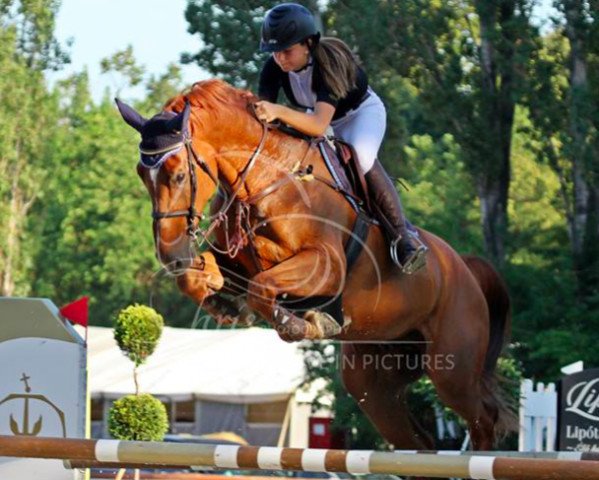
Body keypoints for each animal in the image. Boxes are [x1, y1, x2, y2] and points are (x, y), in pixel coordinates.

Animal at [117, 79, 516, 450]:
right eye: (140, 173)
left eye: (179, 174)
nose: (172, 255)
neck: (270, 180)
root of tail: (465, 267)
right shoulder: (236, 263)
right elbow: (204, 279)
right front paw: (221, 301)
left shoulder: (325, 267)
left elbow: (263, 287)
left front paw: (304, 324)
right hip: (377, 381)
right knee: (417, 442)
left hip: (453, 369)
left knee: (484, 420)